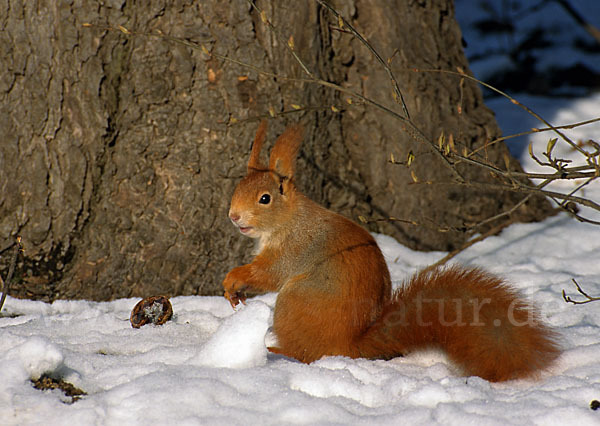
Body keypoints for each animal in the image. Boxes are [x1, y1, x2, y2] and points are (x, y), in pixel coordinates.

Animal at [223, 120, 560, 382]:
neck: (288, 220)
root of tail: (349, 345)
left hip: (294, 302)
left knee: (305, 353)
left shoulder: (295, 247)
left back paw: (277, 350)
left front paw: (234, 278)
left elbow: (269, 274)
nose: (233, 216)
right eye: (236, 189)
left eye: (264, 198)